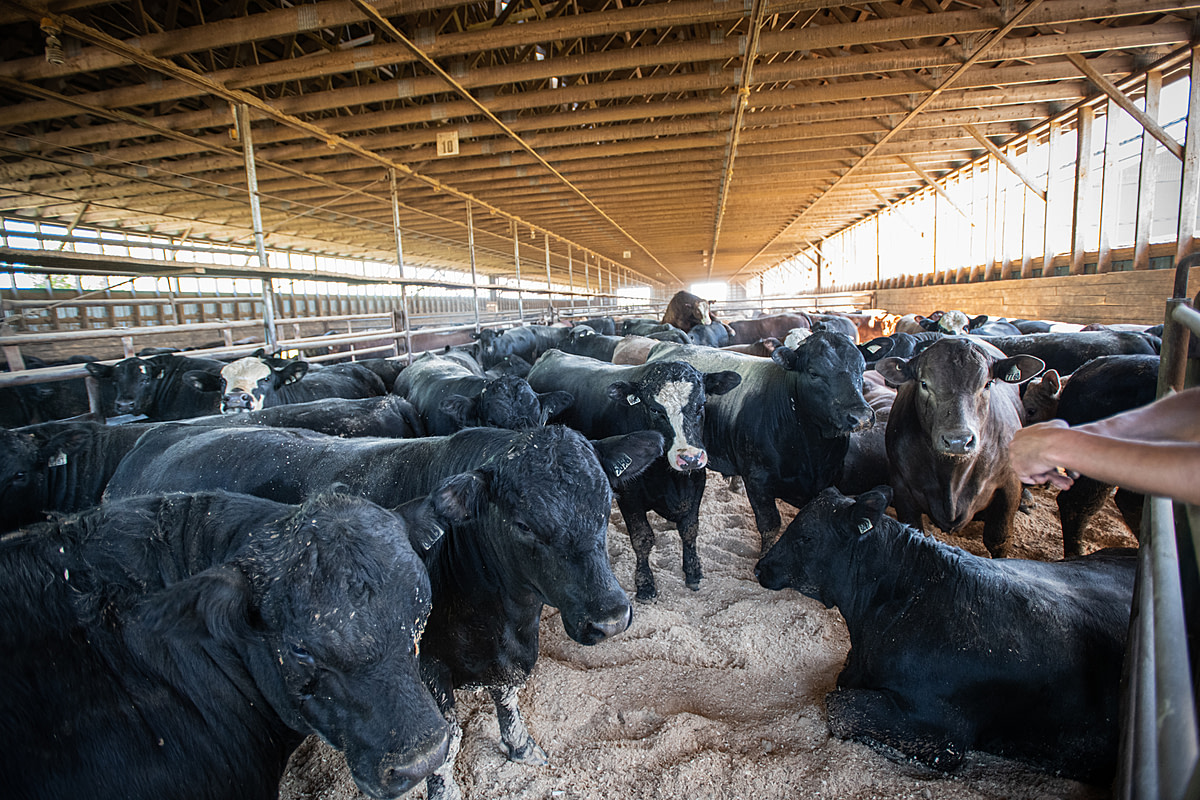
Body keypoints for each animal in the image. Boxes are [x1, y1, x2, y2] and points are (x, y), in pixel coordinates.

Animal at [102, 423, 662, 800]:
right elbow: (446, 745)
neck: (503, 616)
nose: (610, 617)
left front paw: (522, 748)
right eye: (523, 524)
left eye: (607, 502)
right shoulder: (424, 668)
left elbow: (507, 699)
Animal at [527, 349, 741, 600]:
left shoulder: (697, 480)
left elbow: (690, 530)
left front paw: (693, 572)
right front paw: (645, 584)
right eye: (656, 409)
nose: (689, 458)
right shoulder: (629, 493)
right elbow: (642, 538)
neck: (670, 478)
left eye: (701, 405)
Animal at [648, 333, 875, 552]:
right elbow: (769, 525)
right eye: (814, 373)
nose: (861, 416)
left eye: (862, 368)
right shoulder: (758, 481)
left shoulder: (827, 480)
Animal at [876, 337, 1044, 557]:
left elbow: (998, 539)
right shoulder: (901, 484)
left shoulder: (1009, 485)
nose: (958, 440)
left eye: (987, 384)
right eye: (924, 384)